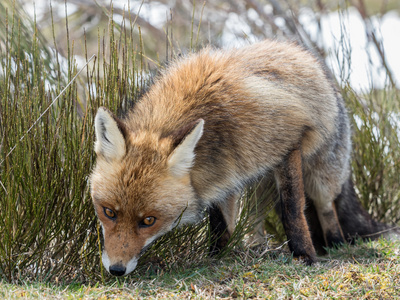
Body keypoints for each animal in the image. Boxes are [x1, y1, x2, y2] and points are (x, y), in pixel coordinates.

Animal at [89, 39, 398, 276]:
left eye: (149, 220)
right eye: (109, 212)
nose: (116, 269)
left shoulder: (288, 145)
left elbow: (292, 211)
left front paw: (305, 257)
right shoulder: (222, 174)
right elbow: (221, 225)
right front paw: (216, 257)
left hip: (320, 176)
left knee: (325, 208)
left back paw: (334, 244)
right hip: (256, 178)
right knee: (255, 221)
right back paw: (255, 246)